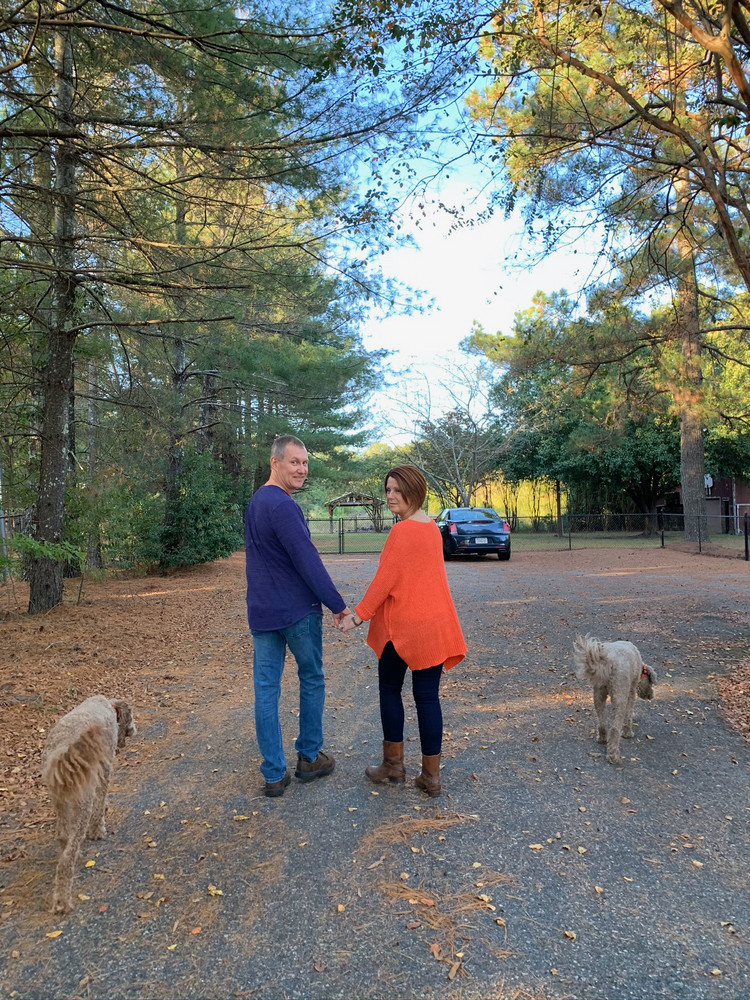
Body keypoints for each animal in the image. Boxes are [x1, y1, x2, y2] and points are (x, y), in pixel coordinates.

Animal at [41, 695, 136, 913]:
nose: (134, 729)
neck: (110, 706)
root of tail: (62, 749)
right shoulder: (105, 766)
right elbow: (101, 801)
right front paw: (98, 830)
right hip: (82, 803)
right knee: (66, 860)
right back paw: (62, 902)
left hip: (59, 803)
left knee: (63, 837)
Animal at [573, 634, 656, 765]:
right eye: (651, 682)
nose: (651, 696)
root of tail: (608, 662)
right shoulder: (631, 691)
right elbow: (629, 714)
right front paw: (628, 733)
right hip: (619, 696)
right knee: (614, 729)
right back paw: (613, 756)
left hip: (598, 694)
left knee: (602, 722)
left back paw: (602, 739)